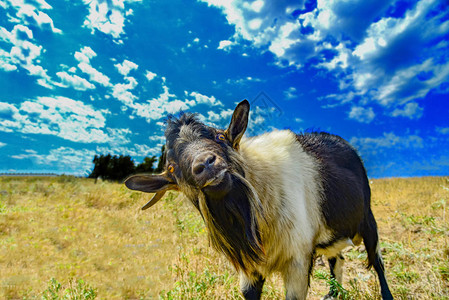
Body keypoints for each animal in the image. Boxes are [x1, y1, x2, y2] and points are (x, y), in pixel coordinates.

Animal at [124, 99, 390, 298]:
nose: (205, 164)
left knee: (377, 261)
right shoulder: (250, 269)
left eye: (220, 137)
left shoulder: (297, 260)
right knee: (338, 260)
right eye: (172, 168)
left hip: (368, 220)